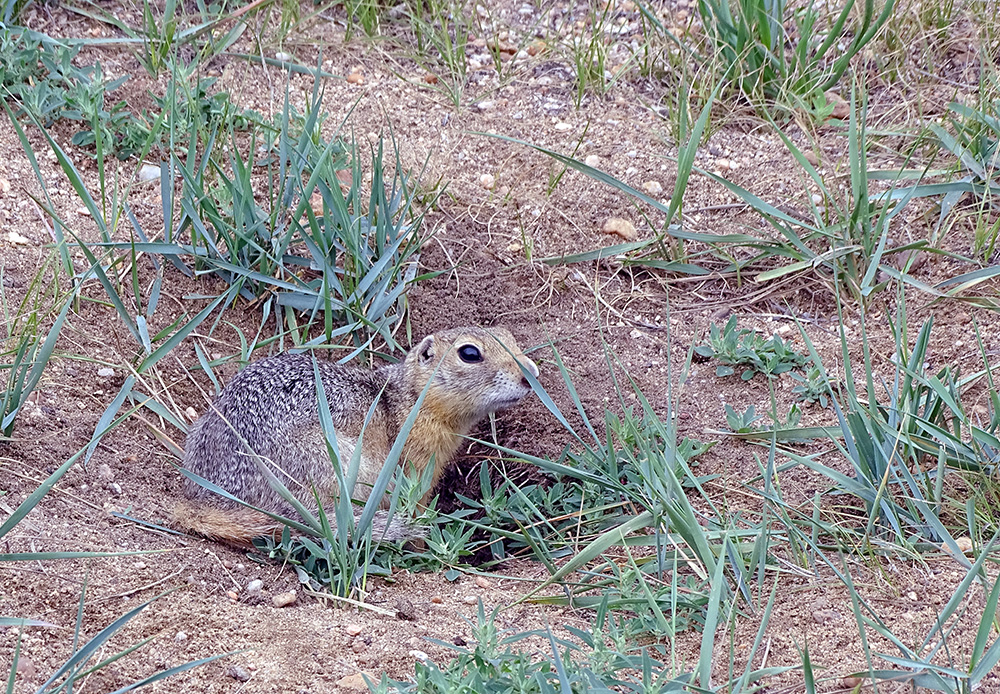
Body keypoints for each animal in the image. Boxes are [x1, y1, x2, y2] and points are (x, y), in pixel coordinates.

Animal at [176, 328, 544, 548]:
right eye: (469, 353)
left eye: (509, 337)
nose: (531, 373)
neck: (407, 398)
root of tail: (211, 499)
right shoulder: (416, 466)